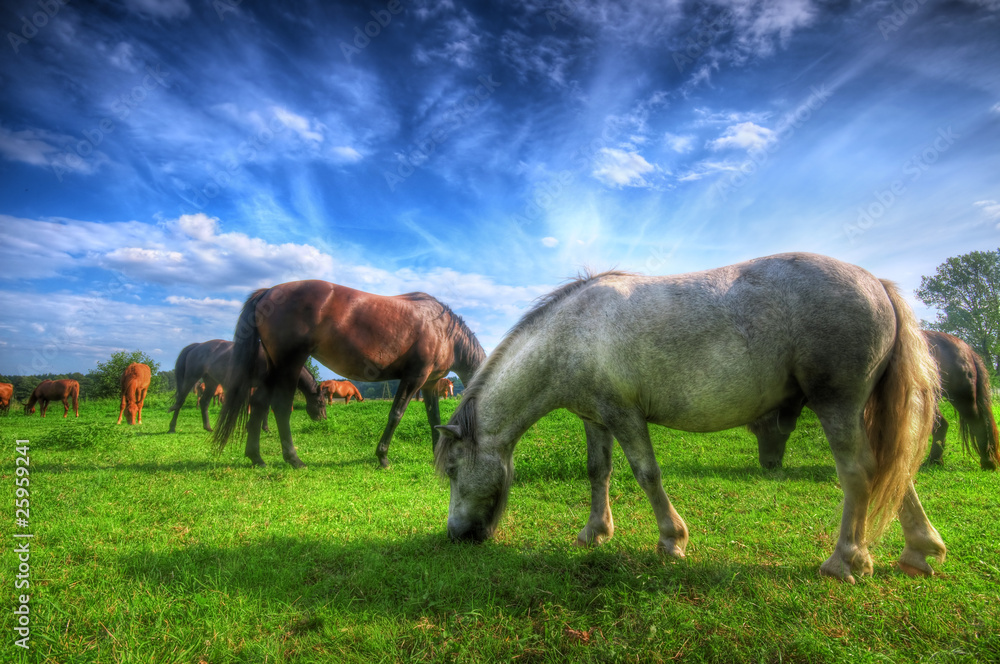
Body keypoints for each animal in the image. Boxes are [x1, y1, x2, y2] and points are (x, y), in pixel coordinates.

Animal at [168, 340, 326, 434]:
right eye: (320, 402)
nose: (322, 419)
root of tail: (198, 345)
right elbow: (263, 408)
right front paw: (254, 426)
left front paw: (264, 428)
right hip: (191, 378)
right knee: (180, 401)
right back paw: (172, 427)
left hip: (211, 381)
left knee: (204, 402)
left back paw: (208, 428)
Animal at [213, 280, 485, 468]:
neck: (445, 332)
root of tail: (268, 292)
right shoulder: (414, 378)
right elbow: (396, 414)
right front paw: (382, 457)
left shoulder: (429, 384)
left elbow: (434, 419)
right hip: (288, 365)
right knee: (280, 407)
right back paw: (294, 459)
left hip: (274, 367)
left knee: (259, 403)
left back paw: (256, 457)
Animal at [434, 254, 945, 583]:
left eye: (454, 470)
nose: (456, 536)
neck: (573, 334)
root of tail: (877, 283)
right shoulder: (595, 418)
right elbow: (598, 472)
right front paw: (594, 532)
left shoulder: (625, 415)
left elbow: (646, 474)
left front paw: (671, 540)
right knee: (892, 472)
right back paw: (919, 550)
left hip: (837, 404)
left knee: (859, 473)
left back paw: (845, 561)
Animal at [750, 330, 1000, 471]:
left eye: (768, 429)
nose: (767, 465)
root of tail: (964, 346)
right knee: (942, 425)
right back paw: (934, 461)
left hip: (962, 397)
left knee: (977, 423)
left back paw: (987, 461)